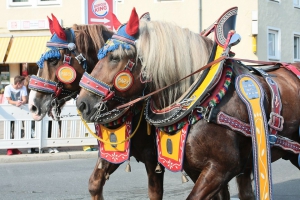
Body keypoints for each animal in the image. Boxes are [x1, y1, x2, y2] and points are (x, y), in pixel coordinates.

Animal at [27, 14, 168, 200]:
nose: (33, 105)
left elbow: (155, 192)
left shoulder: (153, 159)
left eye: (53, 59)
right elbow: (94, 184)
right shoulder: (112, 152)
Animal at [75, 7, 300, 198]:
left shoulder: (220, 168)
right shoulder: (193, 166)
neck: (204, 98)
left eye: (114, 57)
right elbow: (96, 183)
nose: (82, 104)